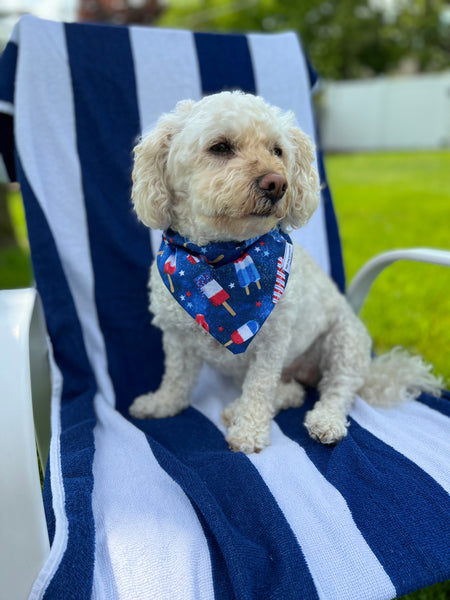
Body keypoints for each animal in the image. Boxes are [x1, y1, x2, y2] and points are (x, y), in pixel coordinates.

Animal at [128, 91, 442, 452]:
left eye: (276, 150)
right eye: (220, 147)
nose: (277, 183)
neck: (220, 257)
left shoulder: (272, 343)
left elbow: (260, 388)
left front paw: (248, 433)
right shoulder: (177, 338)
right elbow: (176, 378)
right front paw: (161, 404)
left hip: (345, 341)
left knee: (339, 389)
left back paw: (324, 421)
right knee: (292, 391)